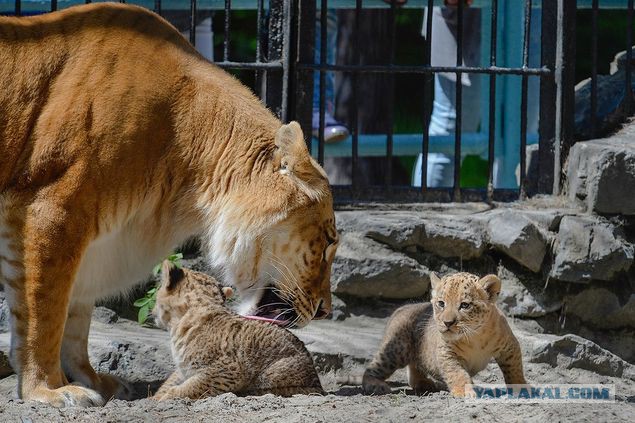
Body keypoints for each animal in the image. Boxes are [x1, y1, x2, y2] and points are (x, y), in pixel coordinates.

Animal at [153, 262, 322, 400]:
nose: (153, 311)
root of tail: (318, 384)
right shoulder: (183, 370)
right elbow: (169, 383)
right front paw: (155, 397)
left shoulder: (229, 370)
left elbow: (189, 387)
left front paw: (164, 398)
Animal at [362, 274, 528, 400]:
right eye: (441, 303)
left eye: (465, 305)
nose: (447, 323)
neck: (474, 336)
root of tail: (401, 308)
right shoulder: (447, 352)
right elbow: (457, 373)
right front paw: (464, 391)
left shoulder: (509, 346)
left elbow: (515, 369)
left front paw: (521, 387)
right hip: (396, 349)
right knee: (373, 368)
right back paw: (376, 385)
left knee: (413, 370)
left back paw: (424, 383)